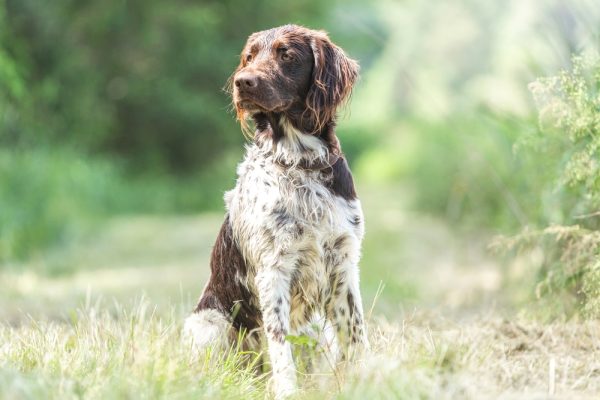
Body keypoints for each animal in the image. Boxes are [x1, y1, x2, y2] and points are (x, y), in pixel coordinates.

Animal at [185, 24, 368, 396]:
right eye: (249, 56)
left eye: (287, 54)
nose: (243, 82)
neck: (301, 161)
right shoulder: (274, 269)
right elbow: (280, 345)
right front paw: (287, 392)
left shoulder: (343, 265)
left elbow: (357, 337)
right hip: (209, 323)